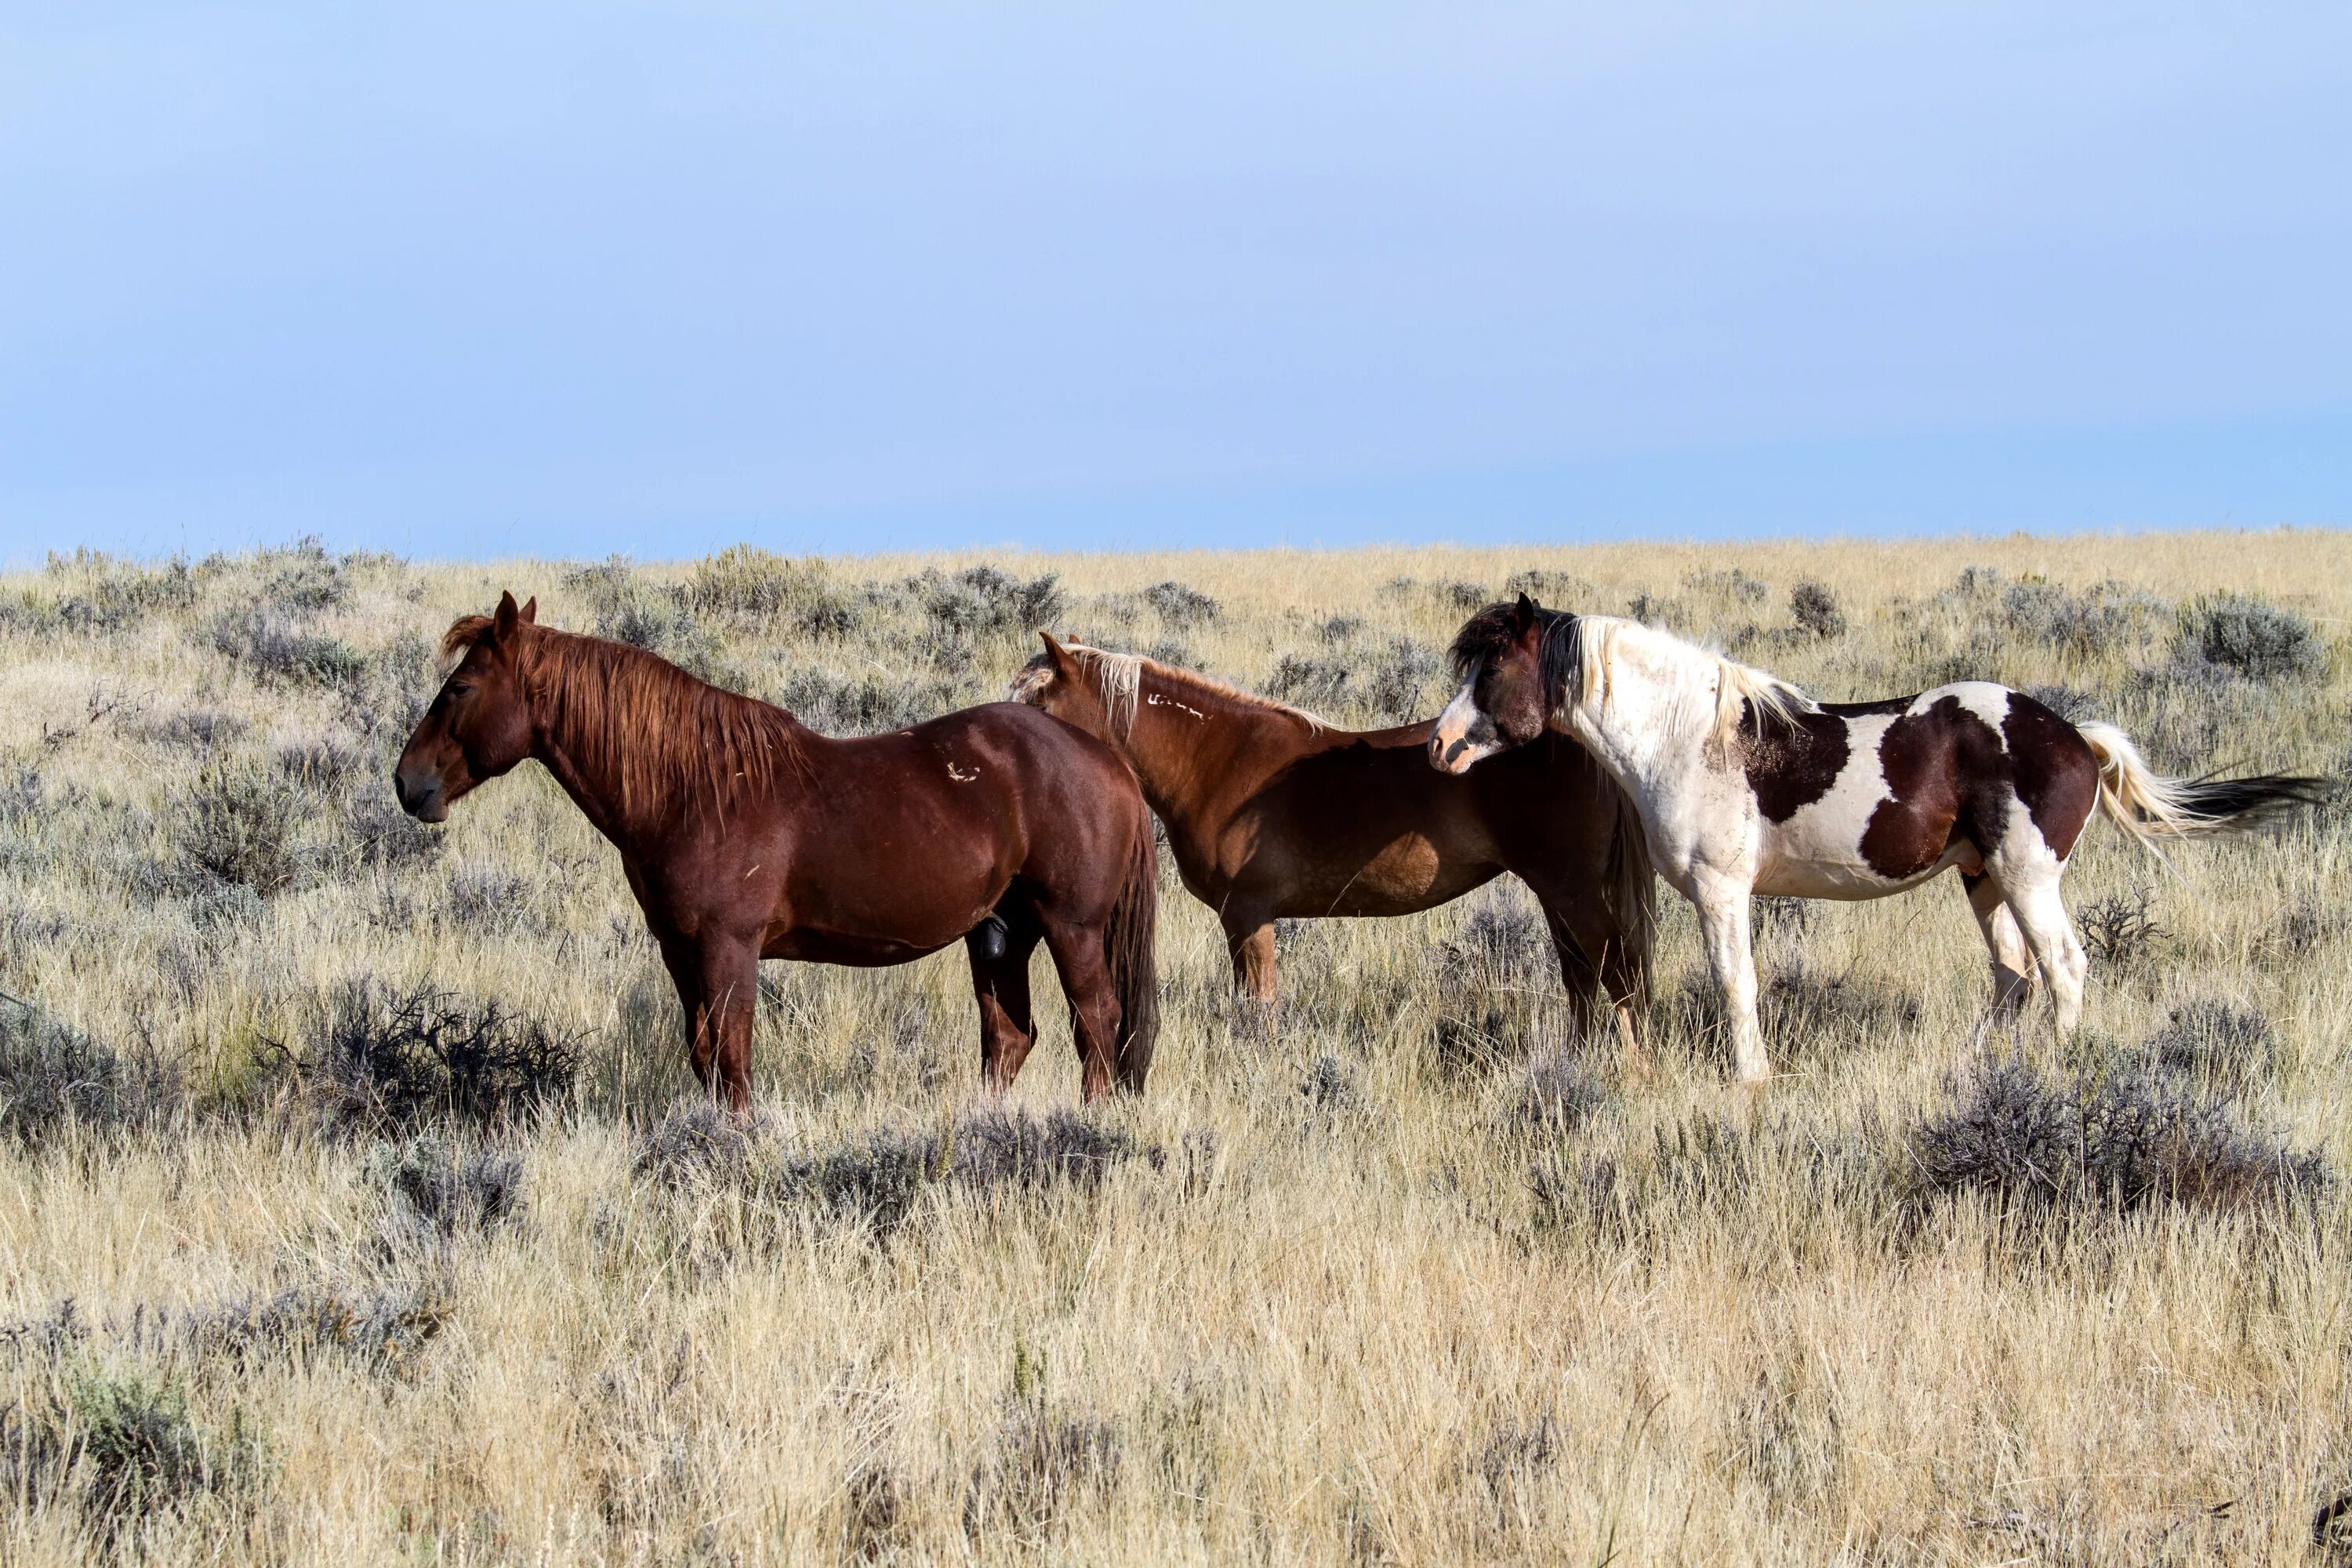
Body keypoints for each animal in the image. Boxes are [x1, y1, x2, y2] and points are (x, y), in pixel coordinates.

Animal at [395, 592, 1157, 1114]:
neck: (693, 789)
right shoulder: (681, 951)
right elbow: (705, 1056)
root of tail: (1111, 760)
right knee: (1009, 1038)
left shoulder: (729, 947)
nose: (408, 782)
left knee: (1098, 1026)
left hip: (1072, 928)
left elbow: (733, 1060)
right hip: (999, 934)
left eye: (460, 687)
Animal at [1011, 630, 1656, 1048]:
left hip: (1572, 890)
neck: (1215, 761)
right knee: (1582, 978)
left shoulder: (1248, 916)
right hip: (1556, 894)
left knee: (1618, 975)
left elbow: (1260, 1009)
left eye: (1038, 700)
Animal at [1430, 594, 2333, 1086]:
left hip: (2027, 875)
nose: (1439, 747)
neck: (1685, 736)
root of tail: (2077, 738)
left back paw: (2060, 1068)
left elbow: (1736, 987)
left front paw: (1751, 1081)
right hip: (1982, 877)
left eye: (1490, 670)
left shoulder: (1724, 892)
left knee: (2063, 968)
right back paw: (1983, 1071)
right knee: (2013, 975)